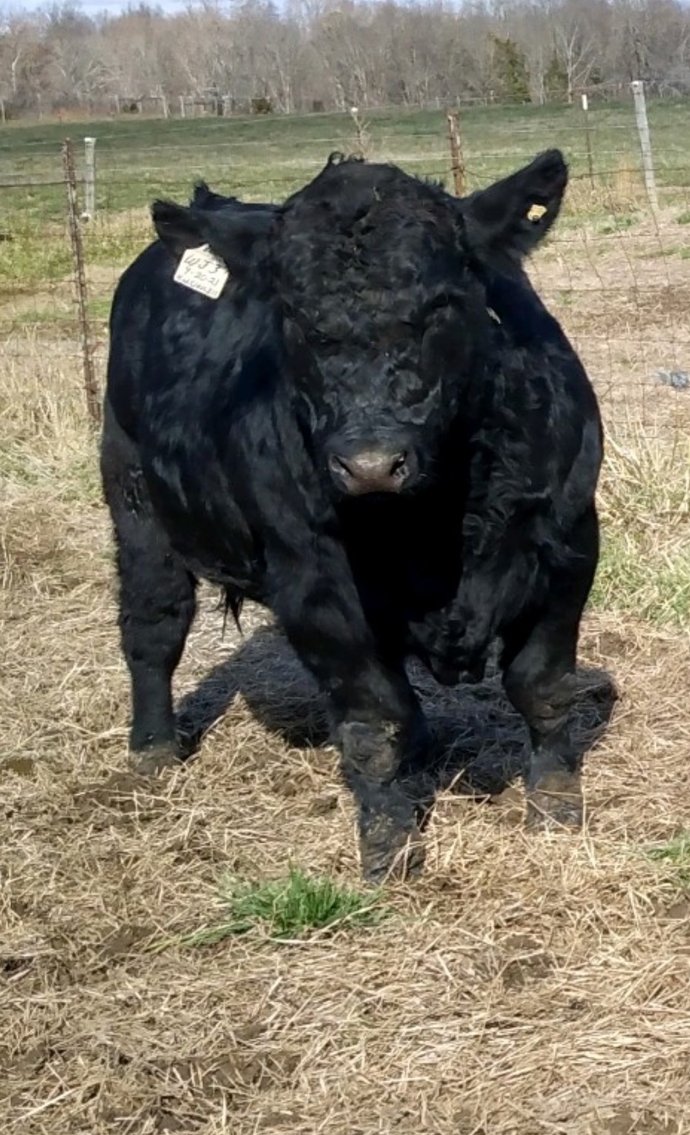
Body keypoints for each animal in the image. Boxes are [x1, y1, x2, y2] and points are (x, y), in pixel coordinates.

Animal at [100, 150, 603, 882]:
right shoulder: (314, 584)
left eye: (441, 304)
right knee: (154, 624)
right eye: (293, 315)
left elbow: (542, 684)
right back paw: (151, 753)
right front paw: (389, 849)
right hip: (134, 494)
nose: (369, 463)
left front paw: (558, 811)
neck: (436, 524)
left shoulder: (568, 544)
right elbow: (374, 720)